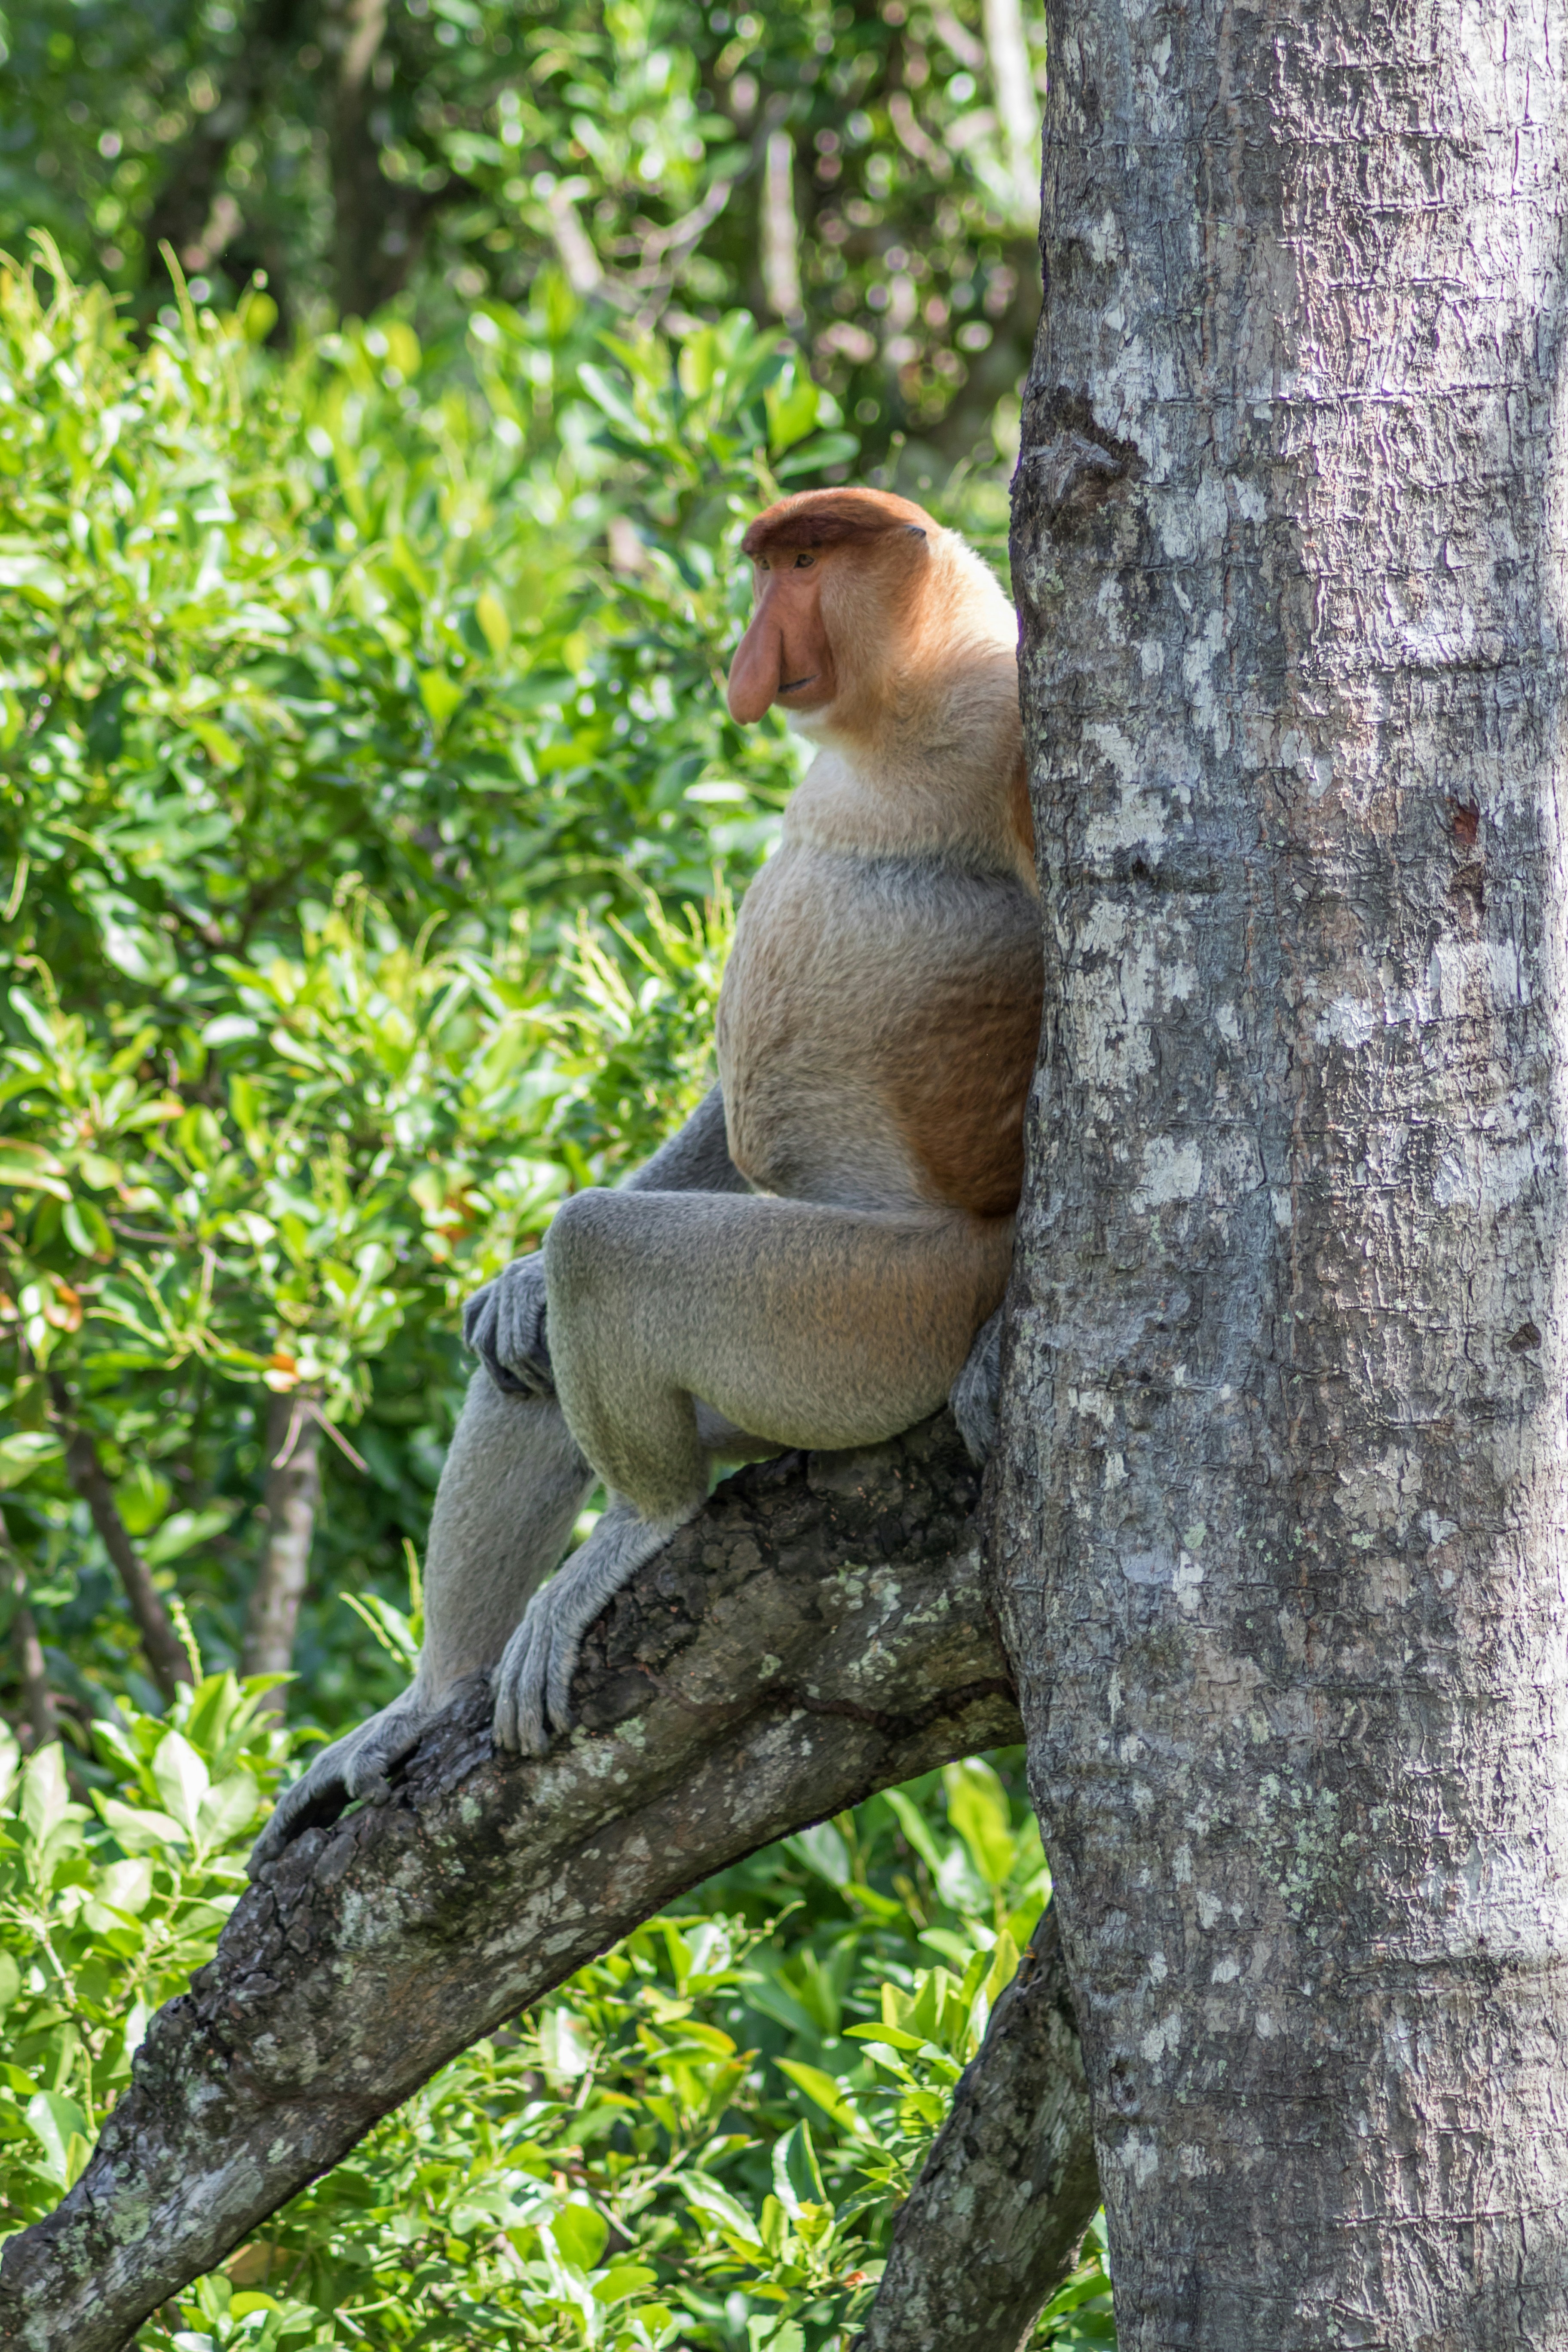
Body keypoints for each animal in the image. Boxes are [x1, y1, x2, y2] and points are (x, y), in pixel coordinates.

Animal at [251, 486, 1042, 1866]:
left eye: (801, 562)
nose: (747, 658)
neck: (900, 715)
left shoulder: (1014, 733)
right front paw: (509, 1284)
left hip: (870, 1317)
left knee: (606, 1250)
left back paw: (640, 1523)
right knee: (530, 1361)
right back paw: (427, 1700)